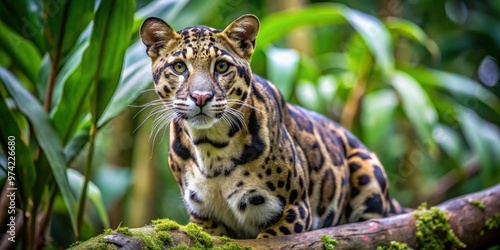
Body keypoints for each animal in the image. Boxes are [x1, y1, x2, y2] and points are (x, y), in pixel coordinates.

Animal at [140, 14, 406, 239]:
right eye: (179, 67)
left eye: (222, 66)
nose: (201, 97)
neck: (211, 148)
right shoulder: (203, 219)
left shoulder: (295, 210)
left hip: (366, 165)